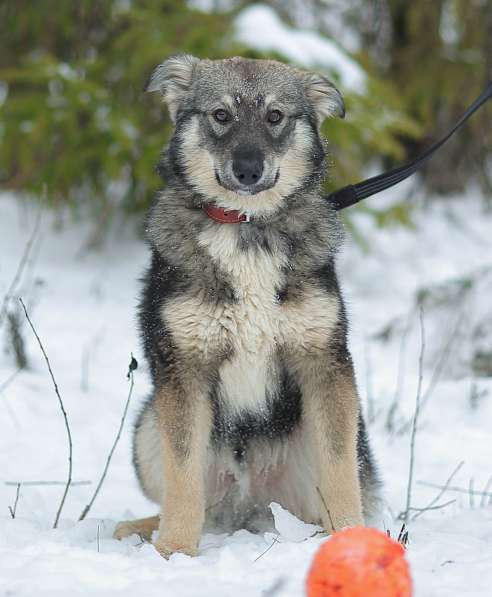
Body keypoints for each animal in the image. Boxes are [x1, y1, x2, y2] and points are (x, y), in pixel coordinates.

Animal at [114, 53, 380, 556]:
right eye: (221, 115)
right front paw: (174, 553)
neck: (246, 229)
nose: (248, 170)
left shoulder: (325, 365)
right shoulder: (184, 371)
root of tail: (248, 502)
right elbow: (183, 480)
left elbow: (339, 472)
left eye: (275, 116)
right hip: (147, 426)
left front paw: (351, 540)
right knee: (195, 503)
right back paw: (140, 530)